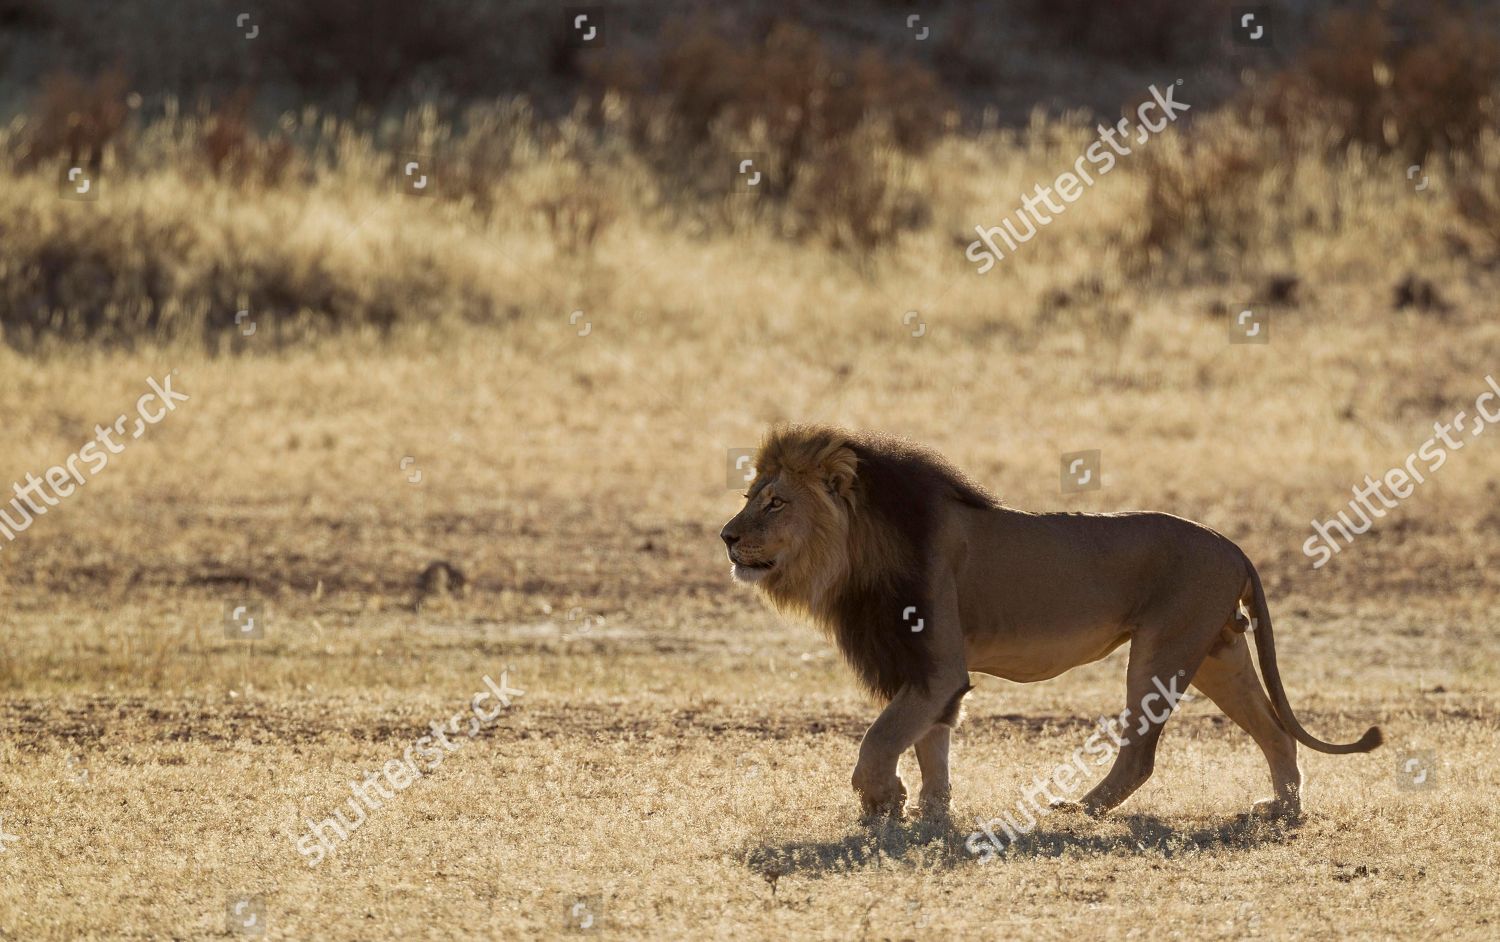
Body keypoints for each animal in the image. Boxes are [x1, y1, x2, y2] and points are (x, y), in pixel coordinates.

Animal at [723, 423, 1380, 822]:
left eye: (775, 502)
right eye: (751, 496)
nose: (726, 536)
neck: (855, 554)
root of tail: (1232, 543)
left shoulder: (937, 666)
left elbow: (881, 737)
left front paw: (884, 800)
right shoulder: (924, 667)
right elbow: (930, 742)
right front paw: (931, 814)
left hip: (1161, 651)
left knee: (1141, 755)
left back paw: (1081, 812)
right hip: (1218, 652)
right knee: (1275, 732)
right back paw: (1282, 811)